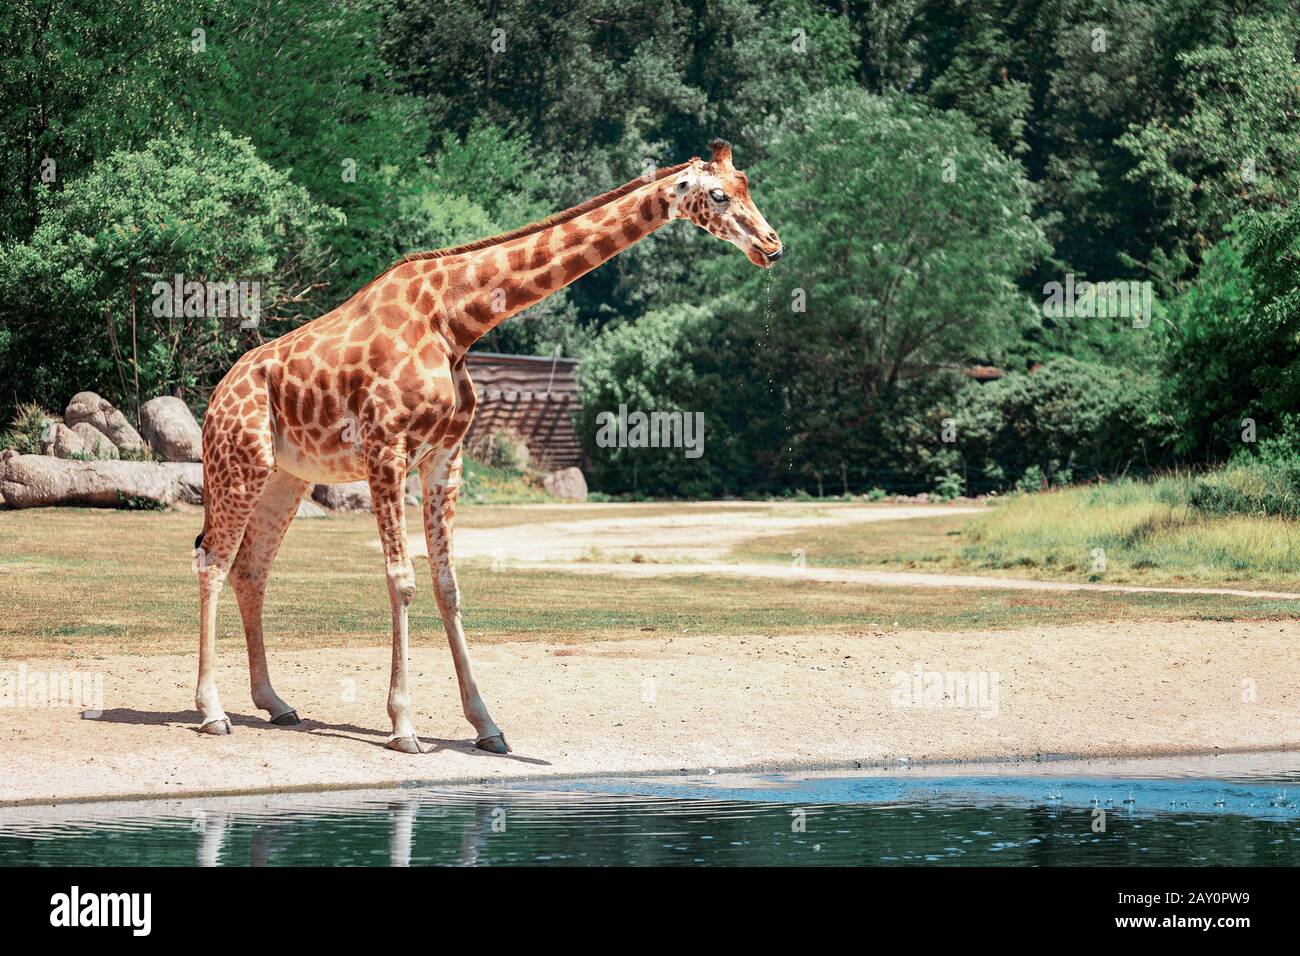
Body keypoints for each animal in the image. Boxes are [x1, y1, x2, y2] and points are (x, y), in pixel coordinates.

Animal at [192, 139, 782, 754]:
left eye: (745, 184)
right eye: (719, 195)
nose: (772, 245)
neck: (457, 320)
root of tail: (217, 394)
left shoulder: (443, 457)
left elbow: (447, 585)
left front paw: (486, 724)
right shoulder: (386, 448)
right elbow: (401, 580)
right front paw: (403, 725)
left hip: (289, 475)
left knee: (251, 569)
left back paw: (275, 703)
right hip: (239, 460)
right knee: (212, 559)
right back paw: (213, 711)